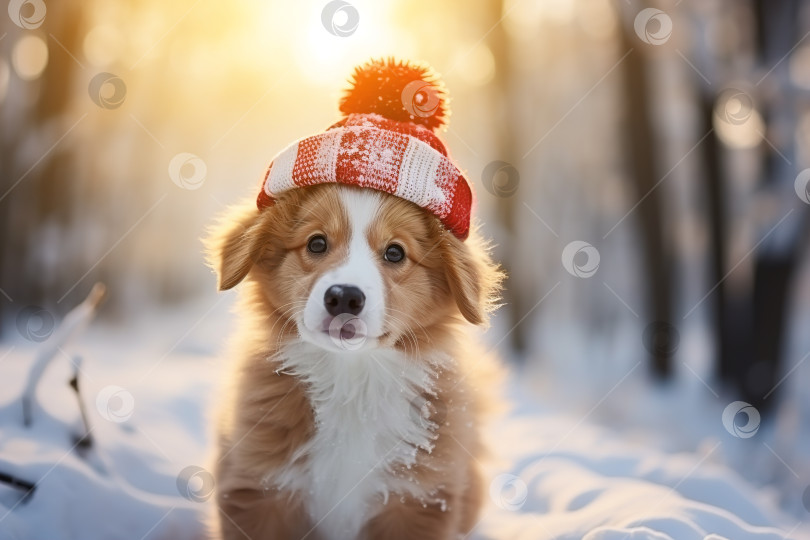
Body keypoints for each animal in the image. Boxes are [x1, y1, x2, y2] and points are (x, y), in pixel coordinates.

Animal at [204, 57, 498, 536]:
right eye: (317, 244)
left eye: (395, 252)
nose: (343, 297)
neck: (351, 383)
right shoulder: (260, 490)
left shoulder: (417, 501)